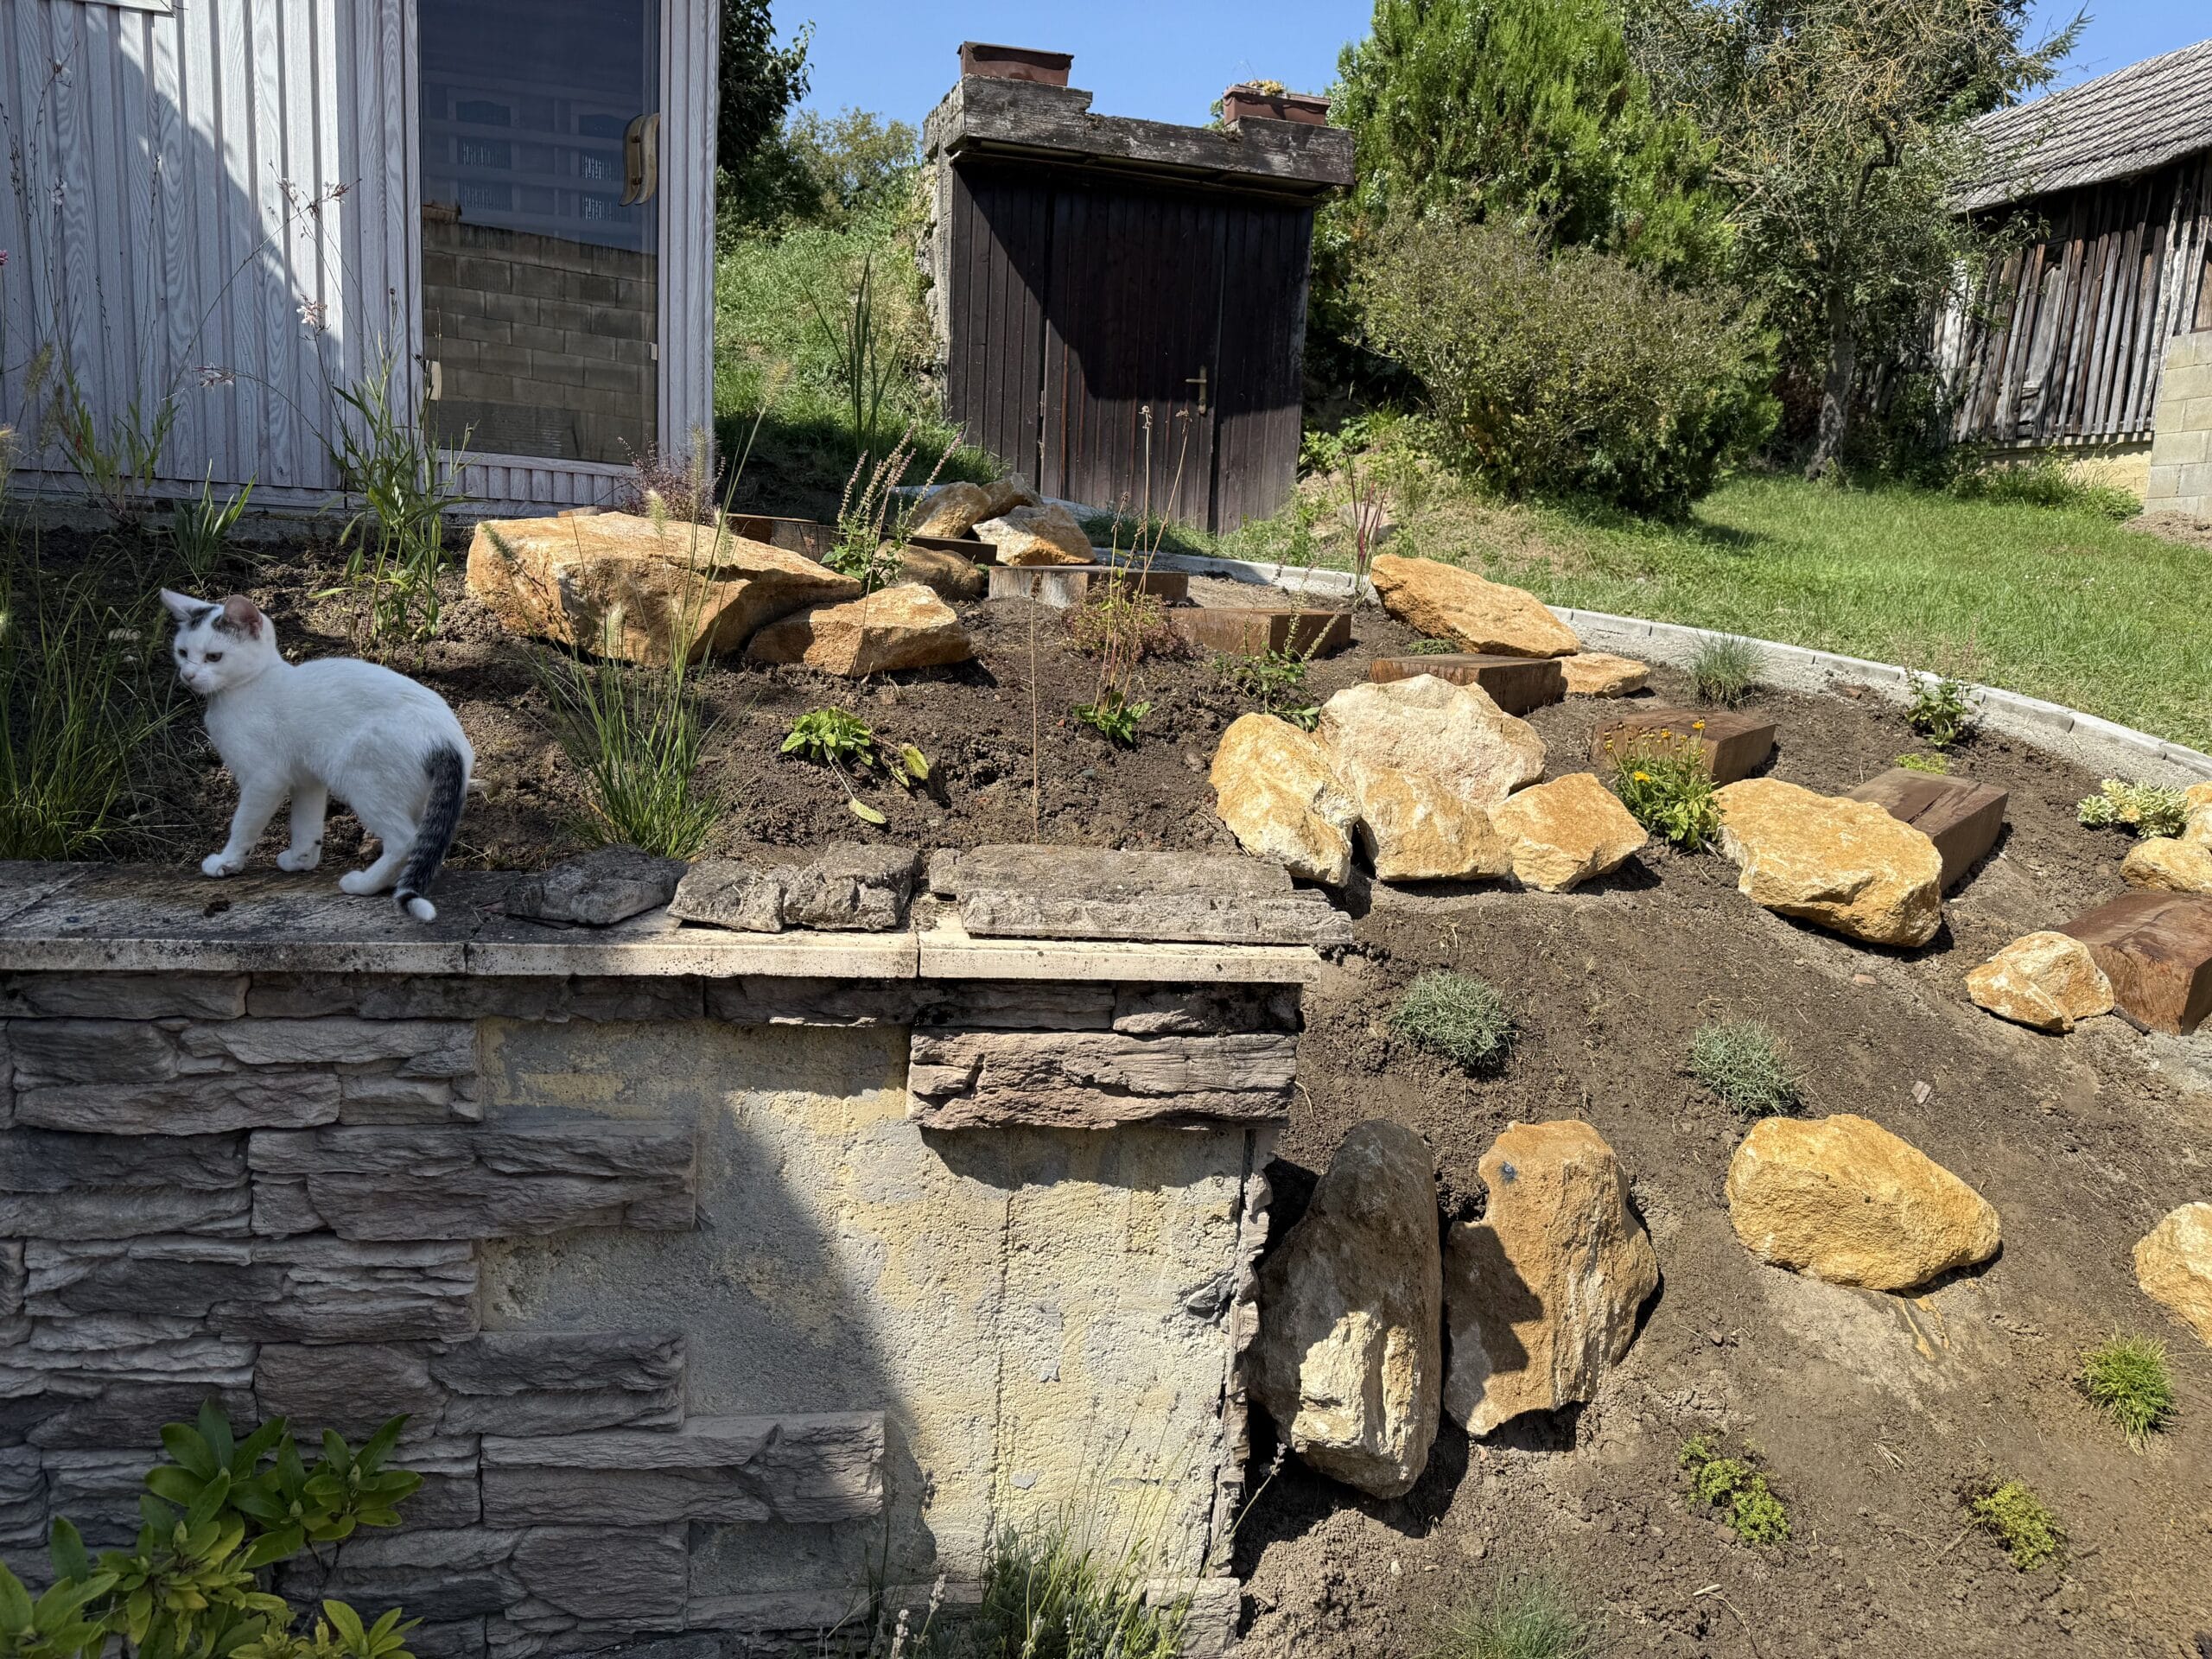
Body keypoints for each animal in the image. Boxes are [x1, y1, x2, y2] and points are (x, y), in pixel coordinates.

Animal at [161, 590, 473, 922]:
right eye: (182, 652)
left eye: (214, 657)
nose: (188, 675)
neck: (247, 688)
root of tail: (446, 738)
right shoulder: (307, 779)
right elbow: (306, 824)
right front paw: (301, 859)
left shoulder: (264, 779)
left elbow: (243, 825)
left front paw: (227, 862)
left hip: (362, 778)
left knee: (405, 840)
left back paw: (364, 884)